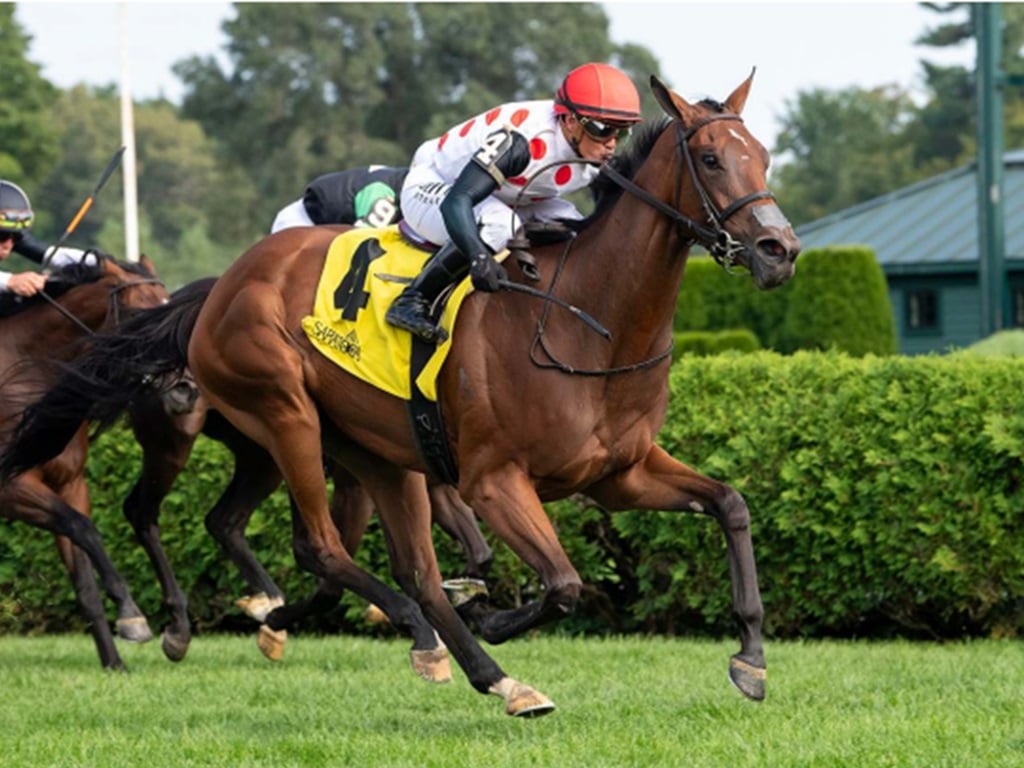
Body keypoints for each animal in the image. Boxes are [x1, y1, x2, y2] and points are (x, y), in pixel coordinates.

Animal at [0, 256, 167, 671]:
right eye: (137, 315)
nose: (185, 386)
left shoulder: (70, 485)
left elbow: (83, 571)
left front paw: (114, 661)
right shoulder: (9, 488)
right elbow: (84, 529)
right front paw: (132, 615)